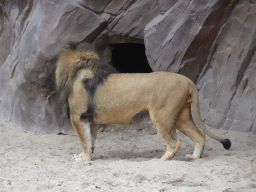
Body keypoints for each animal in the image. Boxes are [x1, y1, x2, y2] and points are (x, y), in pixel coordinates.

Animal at [55, 42, 231, 161]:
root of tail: (187, 80)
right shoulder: (92, 121)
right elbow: (90, 141)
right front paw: (86, 156)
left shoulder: (78, 117)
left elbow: (84, 141)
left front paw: (83, 158)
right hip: (181, 116)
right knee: (199, 136)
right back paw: (193, 157)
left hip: (162, 116)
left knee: (174, 143)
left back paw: (159, 160)